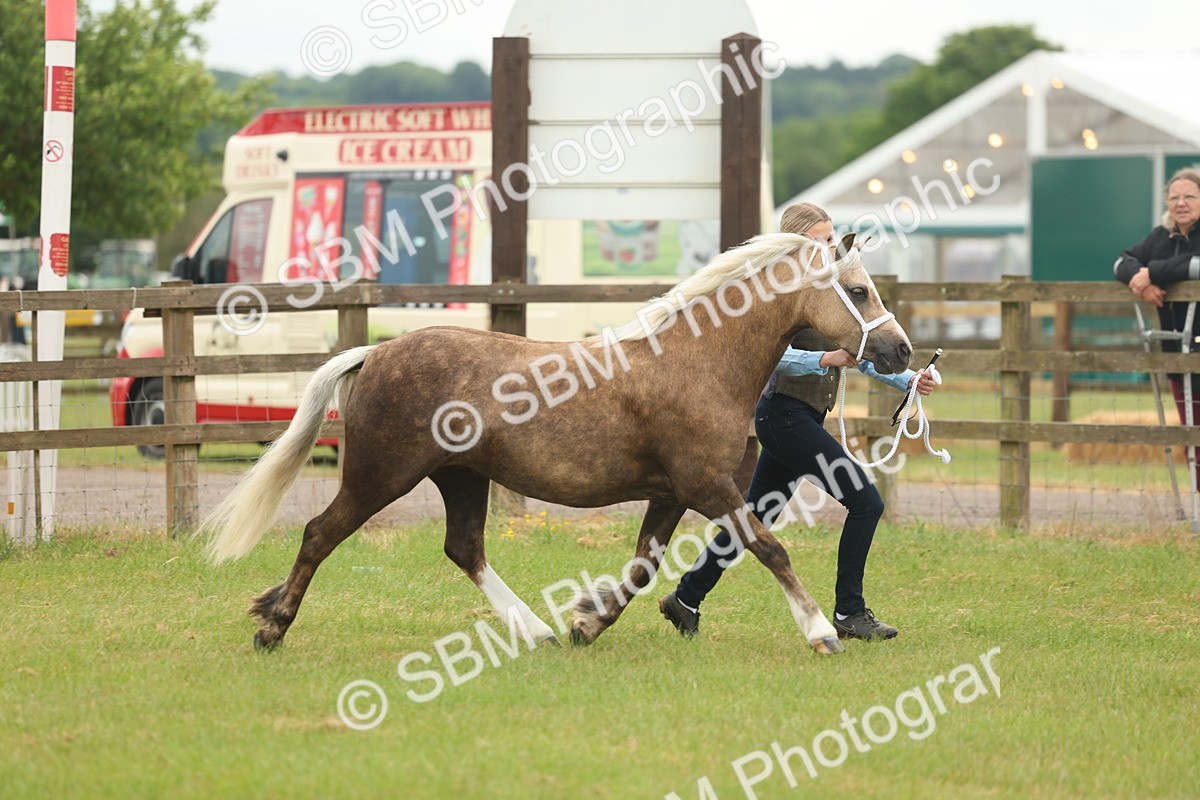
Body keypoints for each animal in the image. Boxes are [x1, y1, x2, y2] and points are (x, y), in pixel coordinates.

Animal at [200, 232, 912, 656]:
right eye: (857, 289)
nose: (901, 351)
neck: (698, 361)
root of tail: (375, 353)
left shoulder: (672, 493)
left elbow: (643, 566)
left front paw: (585, 623)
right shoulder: (708, 486)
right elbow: (770, 548)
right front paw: (821, 632)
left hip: (462, 476)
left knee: (464, 548)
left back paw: (534, 628)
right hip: (382, 475)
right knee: (320, 533)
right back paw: (273, 626)